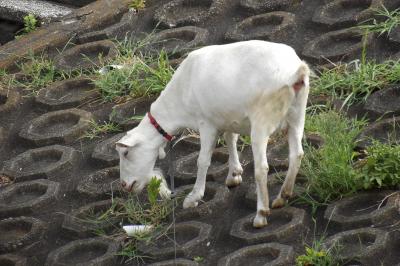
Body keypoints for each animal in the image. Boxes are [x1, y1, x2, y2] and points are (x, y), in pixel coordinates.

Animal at [115, 40, 310, 228]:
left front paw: (193, 197)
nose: (124, 185)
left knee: (262, 168)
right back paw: (282, 196)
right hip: (297, 114)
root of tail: (295, 72)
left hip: (261, 121)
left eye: (126, 152)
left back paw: (261, 214)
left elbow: (202, 161)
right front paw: (234, 174)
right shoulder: (227, 117)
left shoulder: (206, 124)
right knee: (297, 154)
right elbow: (230, 138)